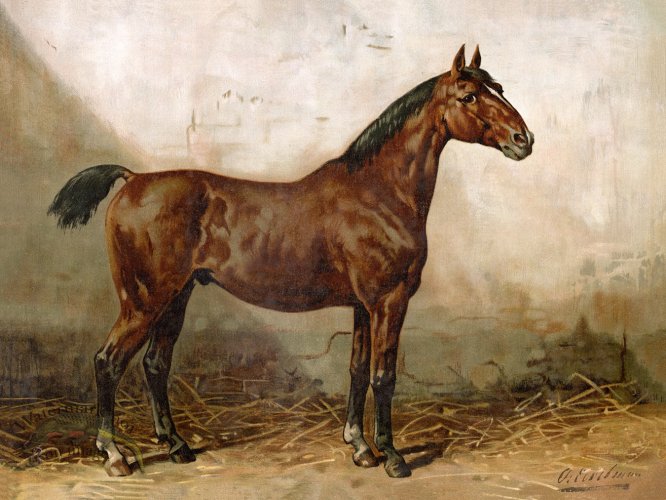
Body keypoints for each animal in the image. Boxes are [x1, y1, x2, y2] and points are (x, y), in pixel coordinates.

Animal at [48, 45, 533, 478]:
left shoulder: (363, 307)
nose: (523, 140)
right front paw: (393, 458)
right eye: (468, 96)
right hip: (144, 301)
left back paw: (177, 446)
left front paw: (360, 447)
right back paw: (114, 456)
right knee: (108, 361)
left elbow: (357, 371)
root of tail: (133, 179)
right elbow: (384, 377)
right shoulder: (388, 302)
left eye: (499, 88)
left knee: (155, 365)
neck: (379, 192)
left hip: (176, 298)